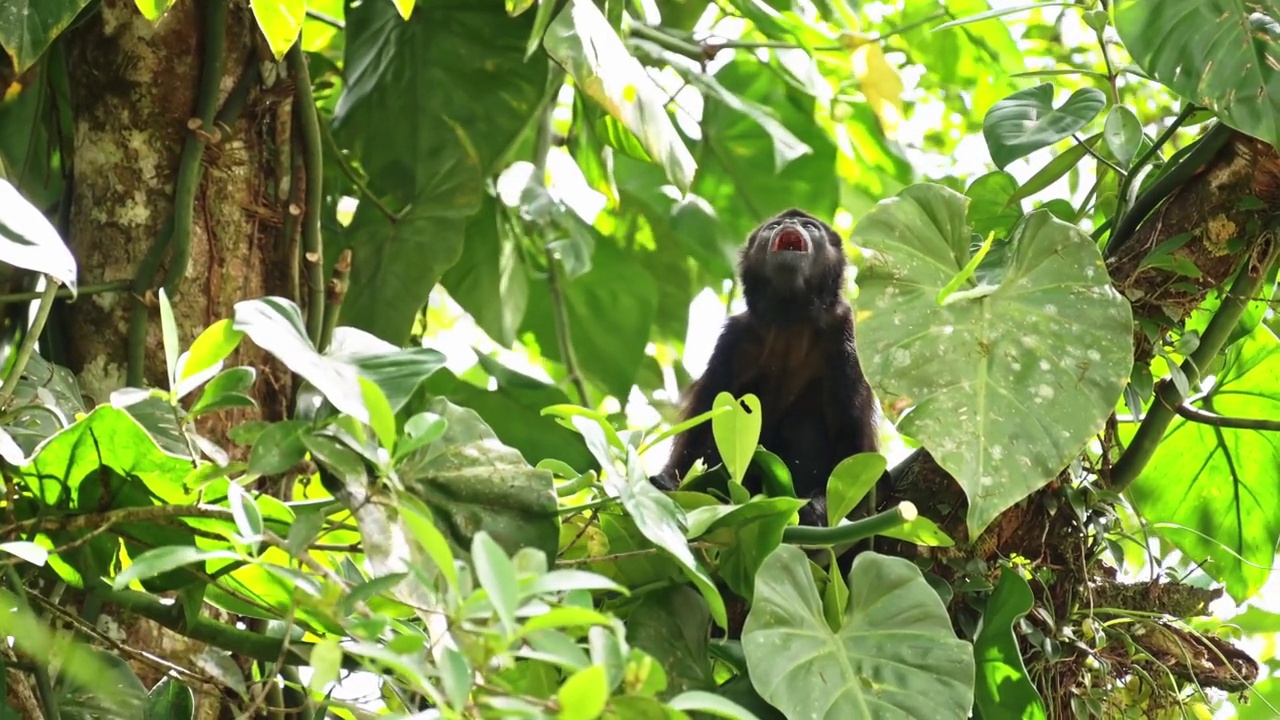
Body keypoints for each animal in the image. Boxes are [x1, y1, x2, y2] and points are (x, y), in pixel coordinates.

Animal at [650, 204, 880, 525]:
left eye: (810, 226)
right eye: (773, 226)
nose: (790, 222)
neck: (790, 319)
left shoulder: (845, 335)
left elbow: (852, 439)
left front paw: (821, 505)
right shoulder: (734, 338)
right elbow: (704, 418)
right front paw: (670, 481)